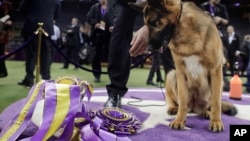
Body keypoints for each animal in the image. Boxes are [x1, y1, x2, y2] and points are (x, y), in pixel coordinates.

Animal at [130, 0, 237, 132]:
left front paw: (216, 121)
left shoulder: (215, 71)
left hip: (218, 83)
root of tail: (195, 108)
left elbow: (216, 103)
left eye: (154, 23)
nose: (149, 49)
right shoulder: (180, 72)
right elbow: (182, 101)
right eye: (146, 24)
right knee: (178, 102)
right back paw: (173, 108)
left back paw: (207, 112)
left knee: (211, 104)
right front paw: (179, 120)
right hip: (172, 74)